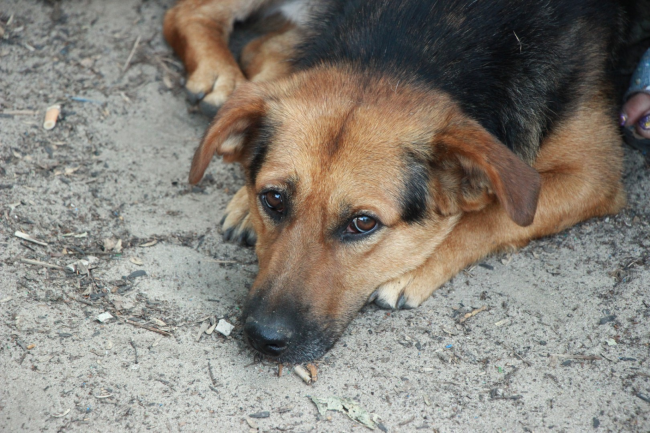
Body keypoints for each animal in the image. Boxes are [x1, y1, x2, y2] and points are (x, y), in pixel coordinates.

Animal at [165, 0, 624, 362]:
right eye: (274, 199)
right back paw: (221, 78)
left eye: (363, 223)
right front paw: (246, 201)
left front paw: (415, 267)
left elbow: (496, 214)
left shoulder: (594, 174)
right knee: (189, 13)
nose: (263, 338)